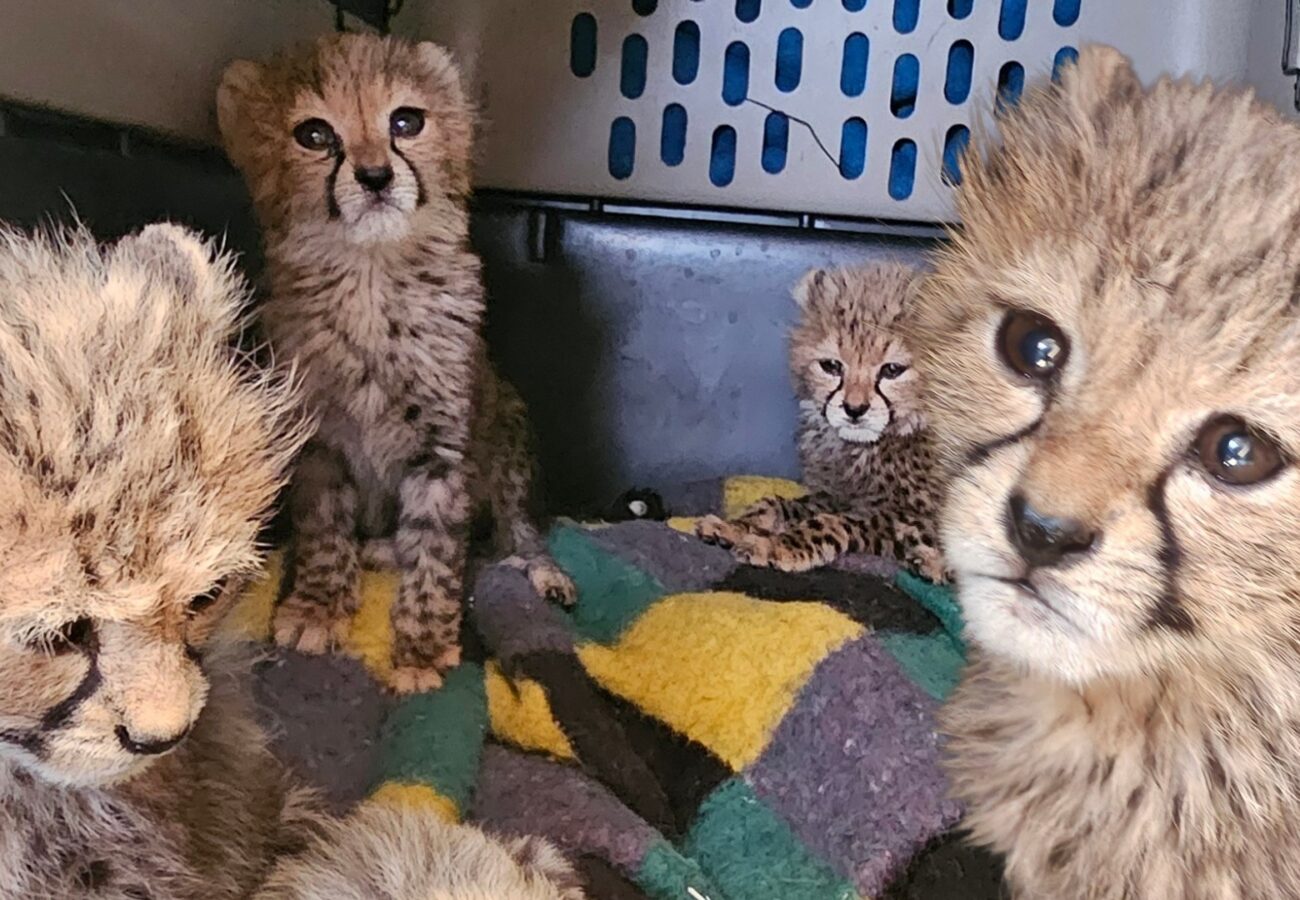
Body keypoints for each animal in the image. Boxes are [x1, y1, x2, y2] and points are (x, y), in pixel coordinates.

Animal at [217, 33, 576, 694]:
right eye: (313, 134)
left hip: (509, 435)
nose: (376, 176)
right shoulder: (318, 445)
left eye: (406, 122)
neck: (371, 275)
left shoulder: (443, 449)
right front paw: (319, 606)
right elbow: (325, 531)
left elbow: (437, 550)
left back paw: (545, 572)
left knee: (515, 533)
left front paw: (422, 648)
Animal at [697, 262, 948, 582]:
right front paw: (734, 527)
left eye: (892, 370)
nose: (854, 409)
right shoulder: (836, 493)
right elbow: (781, 505)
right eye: (831, 366)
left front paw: (774, 545)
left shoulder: (918, 519)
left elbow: (834, 522)